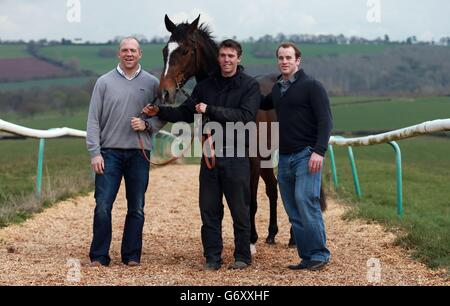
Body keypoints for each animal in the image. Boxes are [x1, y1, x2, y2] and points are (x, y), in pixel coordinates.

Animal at [158, 14, 326, 251]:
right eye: (165, 50)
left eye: (184, 51)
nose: (165, 92)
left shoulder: (251, 161)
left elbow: (250, 202)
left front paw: (251, 241)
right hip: (267, 157)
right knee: (273, 188)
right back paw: (272, 234)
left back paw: (293, 238)